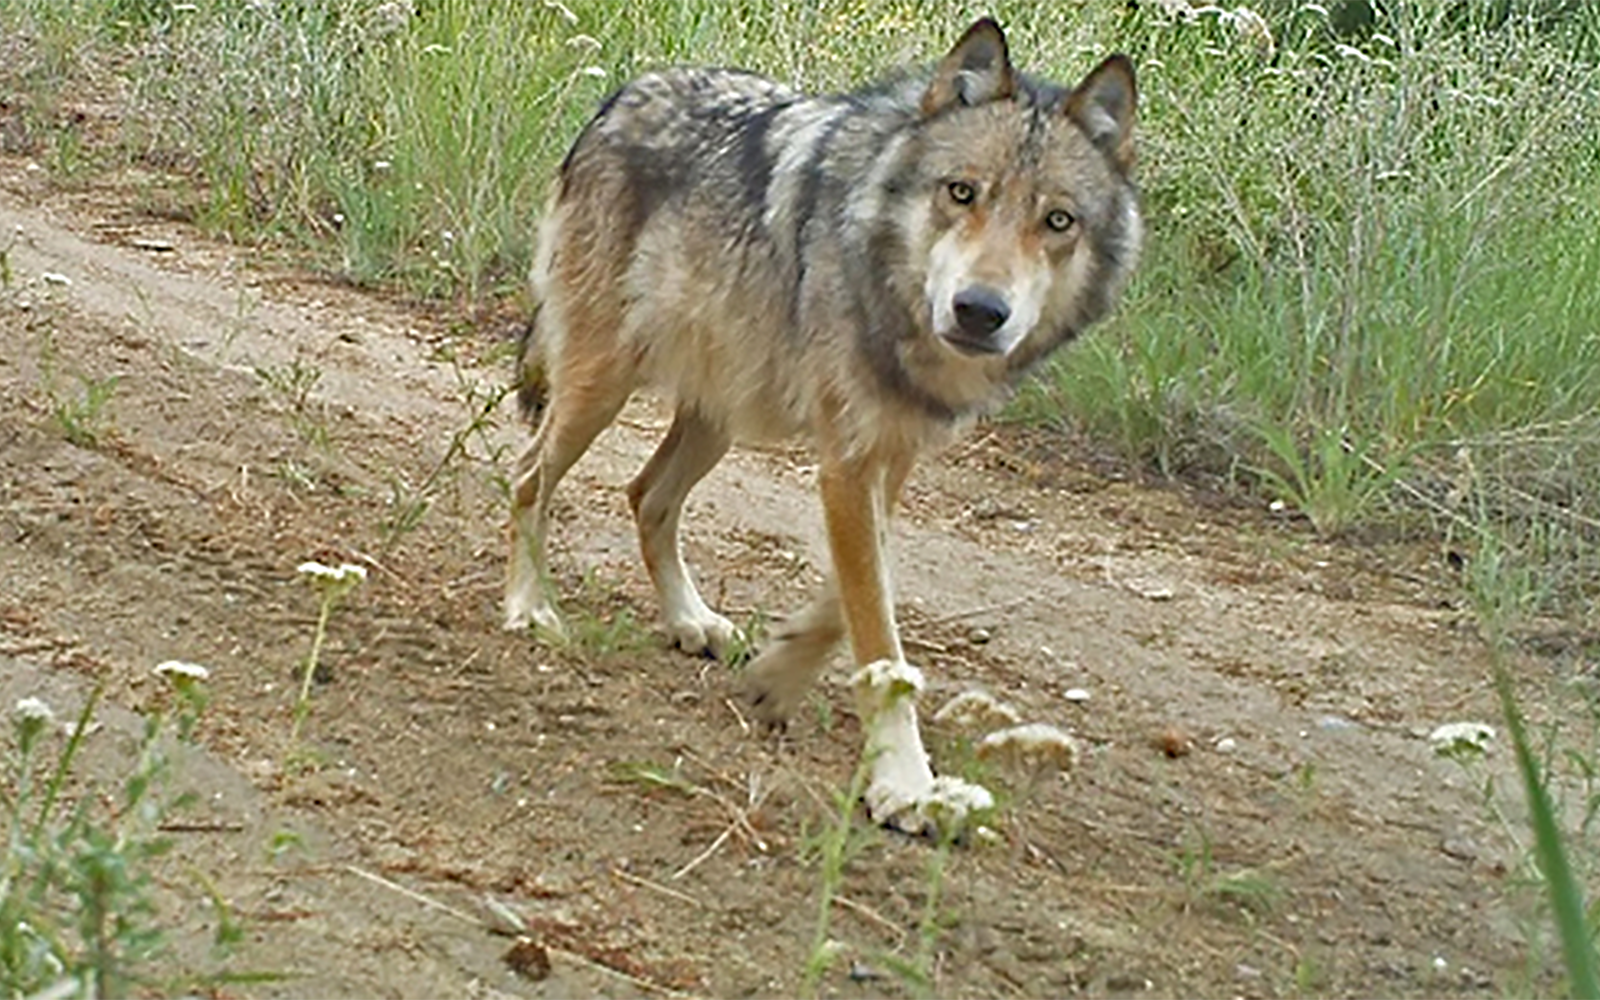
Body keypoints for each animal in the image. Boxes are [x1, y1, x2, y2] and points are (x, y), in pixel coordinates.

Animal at [505, 19, 1145, 832]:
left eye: (1057, 221)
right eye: (961, 192)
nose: (980, 310)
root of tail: (622, 94)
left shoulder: (889, 458)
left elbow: (855, 599)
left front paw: (780, 674)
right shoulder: (848, 463)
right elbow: (878, 631)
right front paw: (906, 785)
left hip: (723, 411)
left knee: (646, 495)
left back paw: (691, 620)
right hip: (600, 388)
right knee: (529, 477)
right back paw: (530, 608)